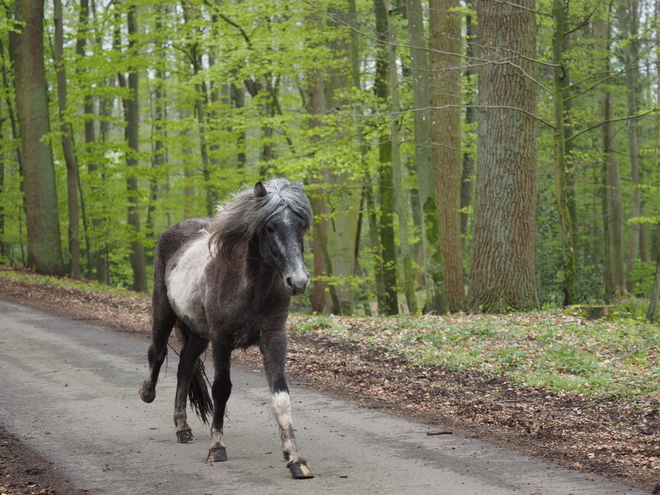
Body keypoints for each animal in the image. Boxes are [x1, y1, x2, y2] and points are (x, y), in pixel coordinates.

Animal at [138, 179, 314, 480]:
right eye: (269, 227)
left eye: (300, 224)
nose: (298, 281)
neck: (250, 288)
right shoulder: (222, 339)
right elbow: (221, 389)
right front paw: (217, 447)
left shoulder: (274, 338)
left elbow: (281, 397)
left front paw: (295, 459)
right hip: (164, 312)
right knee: (157, 353)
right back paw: (147, 394)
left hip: (199, 334)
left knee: (185, 367)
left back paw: (183, 429)